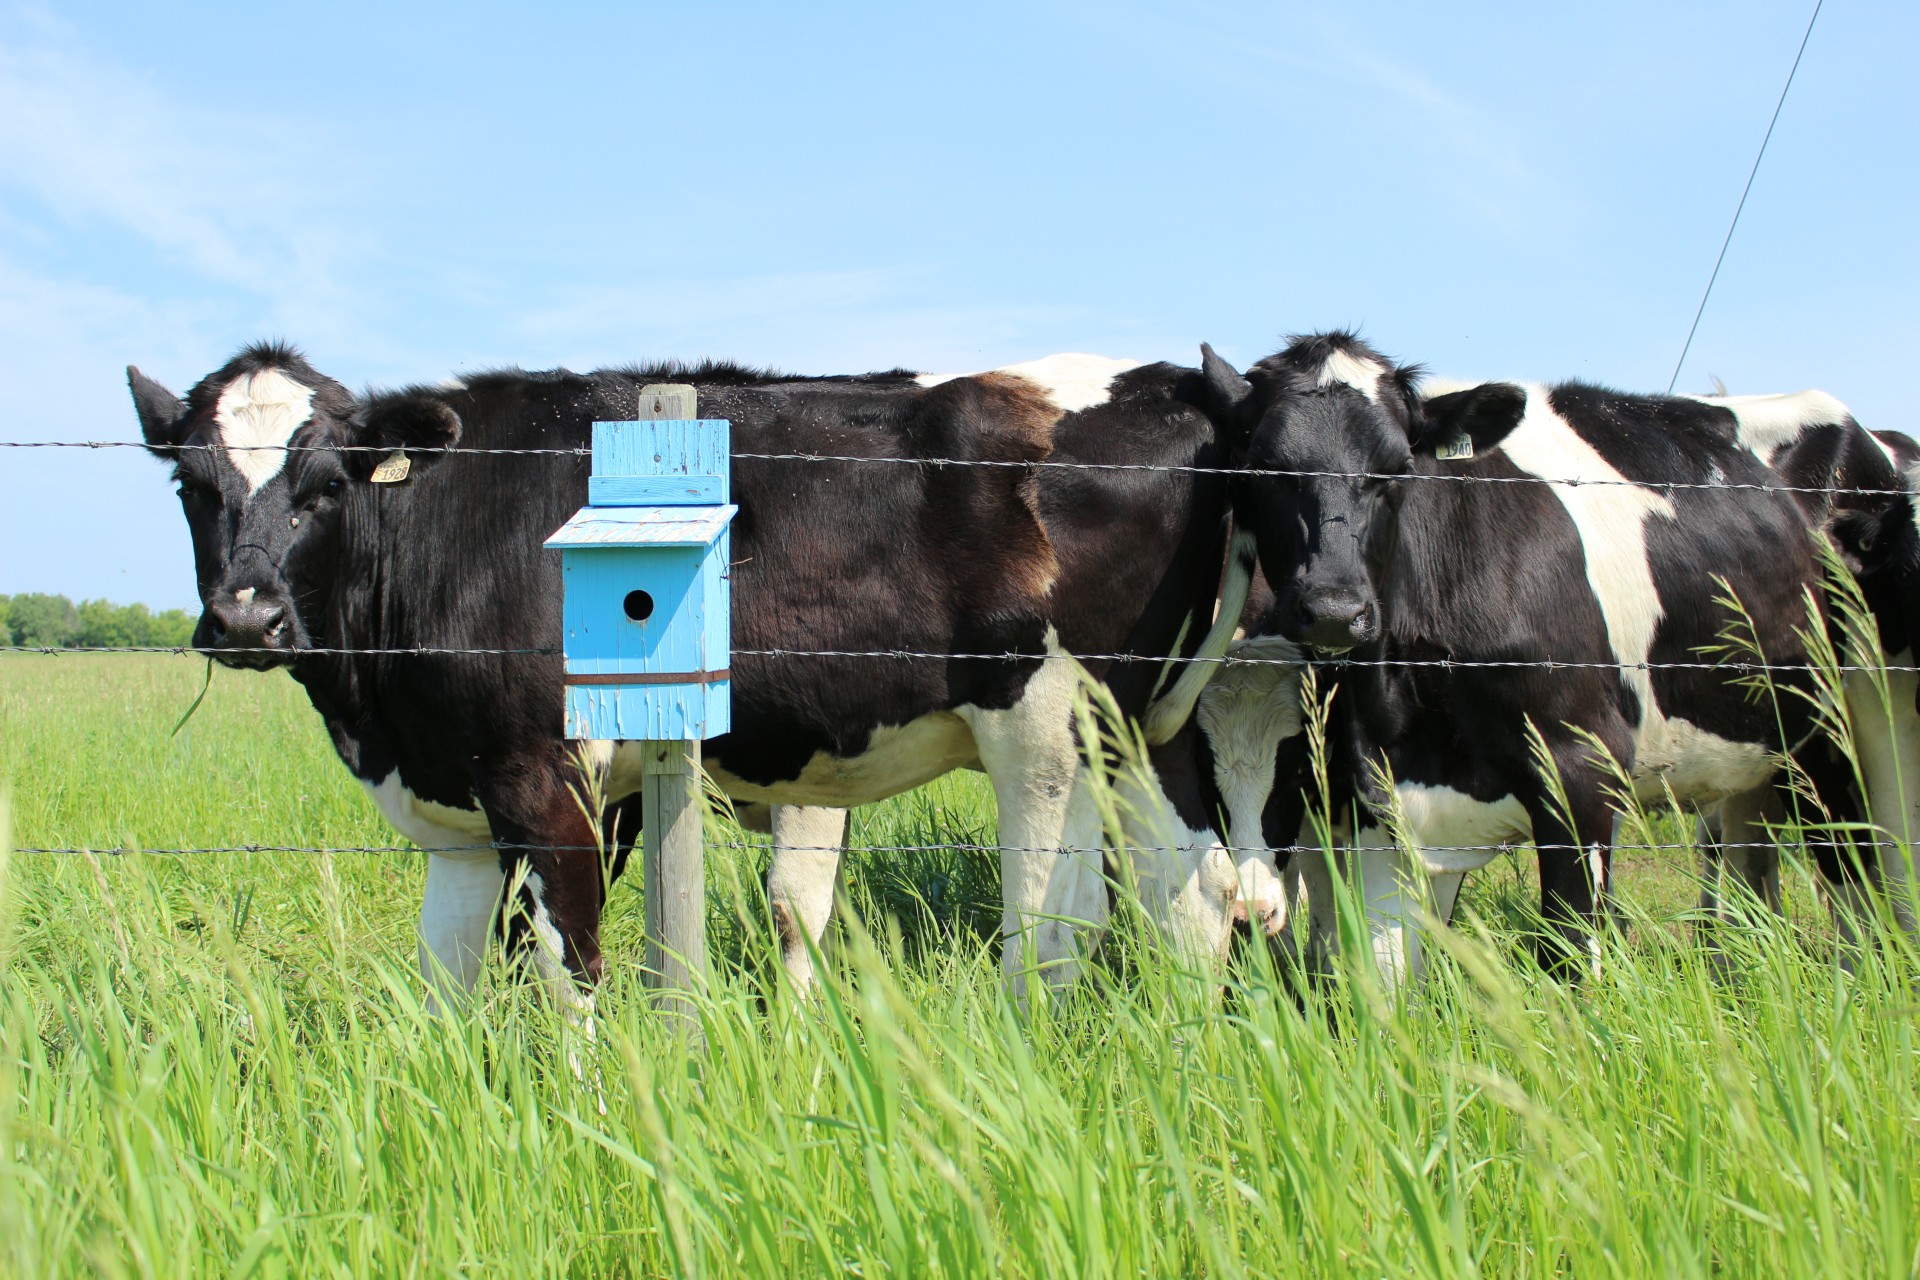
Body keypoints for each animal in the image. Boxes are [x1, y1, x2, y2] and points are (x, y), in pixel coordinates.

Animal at [131, 345, 1244, 1013]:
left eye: (325, 485)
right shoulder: (459, 803)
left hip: (1046, 726)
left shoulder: (547, 778)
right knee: (1194, 897)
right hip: (1145, 731)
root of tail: (1161, 381)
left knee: (1055, 933)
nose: (246, 617)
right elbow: (447, 976)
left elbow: (567, 966)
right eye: (189, 483)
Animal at [1198, 330, 1843, 982]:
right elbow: (1385, 972)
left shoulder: (1582, 769)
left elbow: (1569, 957)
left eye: (1399, 468)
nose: (1335, 609)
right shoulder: (1379, 795)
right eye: (1261, 468)